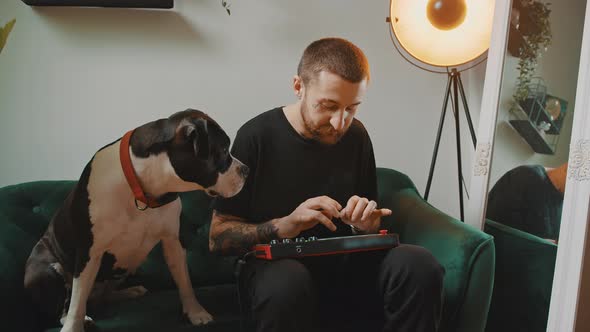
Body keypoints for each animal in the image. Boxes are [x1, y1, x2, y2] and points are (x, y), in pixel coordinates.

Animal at [23, 110, 249, 332]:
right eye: (223, 150)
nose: (246, 169)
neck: (145, 188)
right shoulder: (89, 252)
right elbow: (77, 301)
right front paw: (73, 327)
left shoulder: (173, 242)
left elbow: (184, 281)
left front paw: (195, 312)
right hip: (46, 269)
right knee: (65, 305)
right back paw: (80, 317)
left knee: (101, 295)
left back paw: (129, 292)